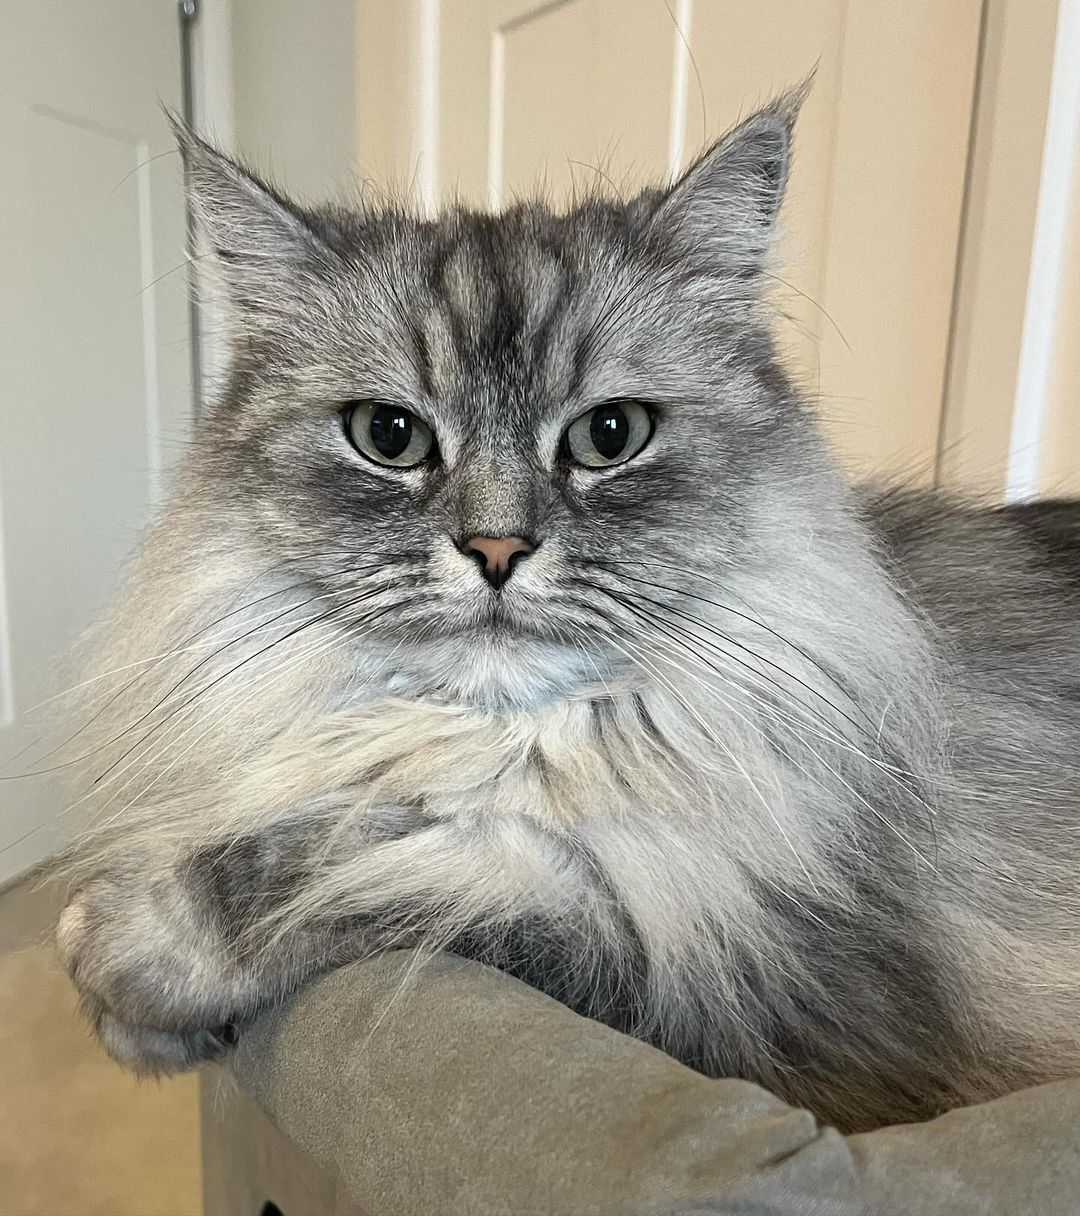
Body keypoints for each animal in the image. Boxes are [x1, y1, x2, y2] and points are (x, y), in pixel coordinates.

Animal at [52, 89, 1080, 1133]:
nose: (497, 550)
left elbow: (398, 866)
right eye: (389, 436)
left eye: (610, 436)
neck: (511, 747)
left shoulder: (750, 990)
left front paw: (120, 947)